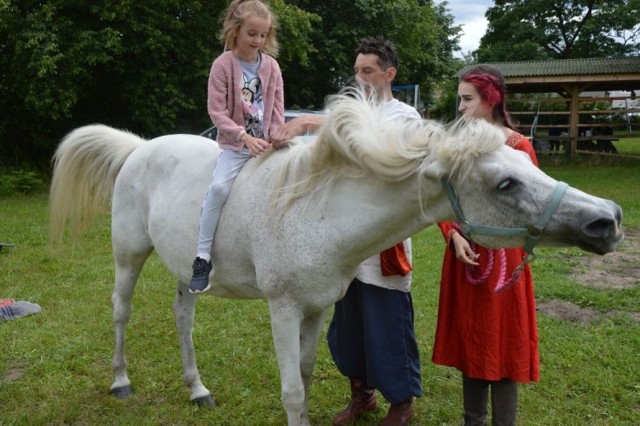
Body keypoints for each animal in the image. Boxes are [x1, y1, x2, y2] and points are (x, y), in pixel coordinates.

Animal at [47, 88, 624, 424]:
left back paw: (198, 390)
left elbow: (303, 379)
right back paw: (121, 382)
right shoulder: (282, 310)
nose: (609, 219)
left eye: (524, 161)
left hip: (189, 271)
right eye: (505, 182)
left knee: (182, 316)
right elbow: (291, 392)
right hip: (129, 256)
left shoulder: (318, 308)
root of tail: (138, 148)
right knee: (121, 311)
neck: (318, 210)